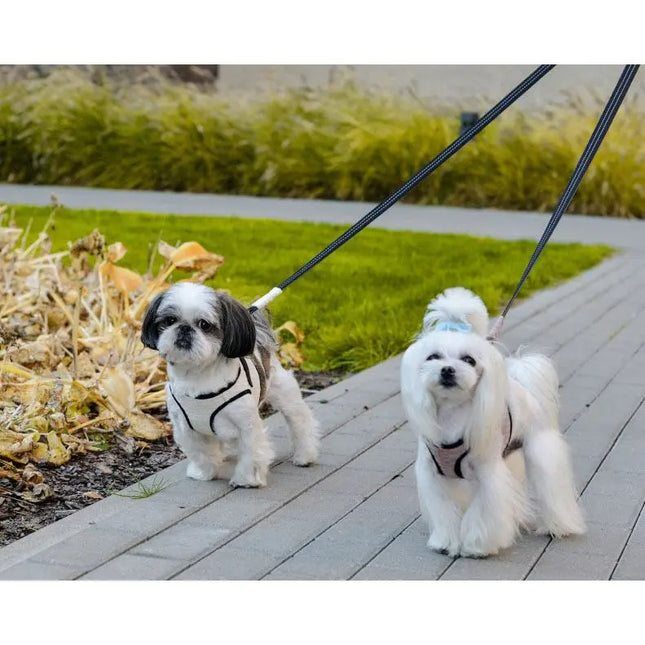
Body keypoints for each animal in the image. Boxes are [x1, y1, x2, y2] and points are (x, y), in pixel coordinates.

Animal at [143, 284, 320, 488]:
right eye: (170, 320)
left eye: (204, 324)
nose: (184, 328)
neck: (198, 376)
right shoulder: (186, 427)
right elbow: (202, 452)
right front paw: (204, 473)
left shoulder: (246, 424)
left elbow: (251, 453)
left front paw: (247, 480)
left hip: (285, 395)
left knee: (300, 422)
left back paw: (304, 455)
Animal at [398, 288, 584, 560]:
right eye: (433, 356)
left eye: (469, 360)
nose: (447, 370)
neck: (453, 416)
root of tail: (523, 385)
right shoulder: (433, 475)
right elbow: (445, 511)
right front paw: (445, 542)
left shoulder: (488, 475)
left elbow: (483, 511)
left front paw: (478, 546)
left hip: (540, 449)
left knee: (551, 486)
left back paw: (559, 526)